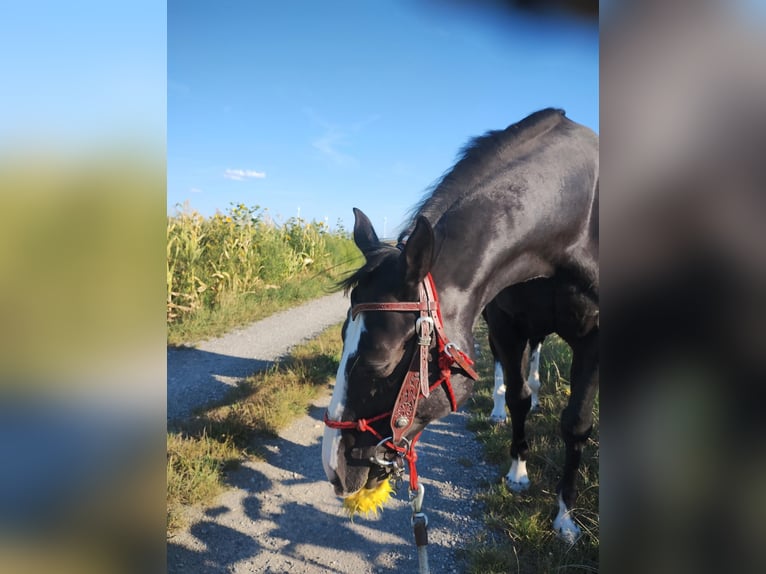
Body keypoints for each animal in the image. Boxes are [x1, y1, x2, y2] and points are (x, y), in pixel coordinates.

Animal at [321, 108, 598, 543]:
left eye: (379, 361)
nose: (334, 468)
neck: (575, 221)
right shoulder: (505, 326)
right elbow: (517, 396)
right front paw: (518, 471)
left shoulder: (593, 336)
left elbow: (576, 424)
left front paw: (566, 517)